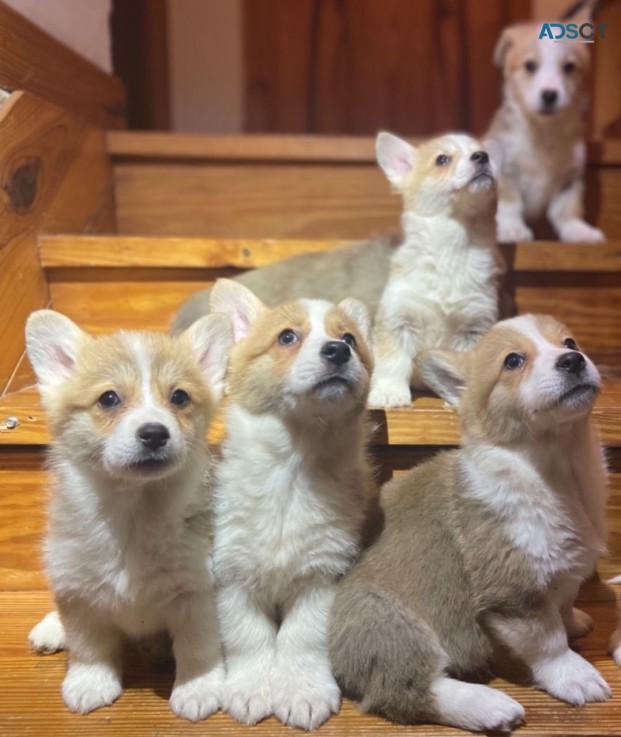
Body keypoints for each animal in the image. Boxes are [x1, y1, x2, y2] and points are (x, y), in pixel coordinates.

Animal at [23, 310, 232, 720]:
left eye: (179, 397)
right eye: (108, 398)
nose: (154, 433)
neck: (134, 512)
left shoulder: (197, 593)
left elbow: (197, 647)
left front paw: (197, 688)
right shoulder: (80, 594)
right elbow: (89, 648)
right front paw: (90, 684)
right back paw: (51, 628)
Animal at [208, 278, 376, 728]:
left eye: (349, 338)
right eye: (287, 337)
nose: (337, 351)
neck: (294, 466)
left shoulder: (323, 576)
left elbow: (301, 638)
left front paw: (304, 693)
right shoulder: (232, 576)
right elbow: (249, 637)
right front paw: (250, 690)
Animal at [330, 312, 612, 732]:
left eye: (570, 344)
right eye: (513, 361)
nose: (573, 361)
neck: (557, 467)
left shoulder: (561, 572)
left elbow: (563, 604)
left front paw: (575, 621)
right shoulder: (515, 594)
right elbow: (548, 642)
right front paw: (574, 676)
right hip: (385, 620)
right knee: (407, 690)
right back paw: (488, 705)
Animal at [366, 132, 502, 408]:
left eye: (483, 152)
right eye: (442, 159)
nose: (482, 156)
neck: (453, 241)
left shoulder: (475, 326)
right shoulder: (398, 321)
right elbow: (392, 363)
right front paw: (389, 393)